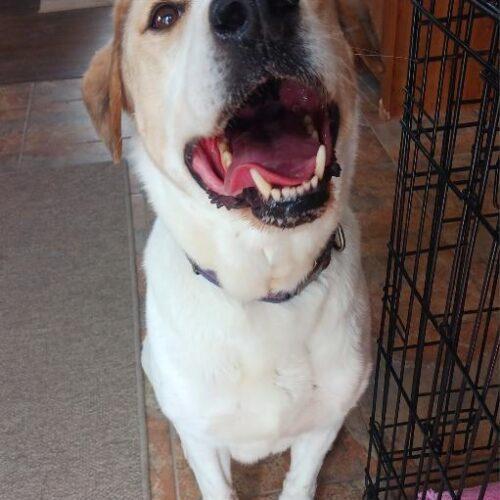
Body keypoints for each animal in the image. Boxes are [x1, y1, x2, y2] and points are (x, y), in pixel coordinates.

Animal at [83, 1, 372, 498]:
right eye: (163, 17)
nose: (258, 14)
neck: (265, 287)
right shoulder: (202, 437)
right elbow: (215, 481)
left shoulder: (324, 423)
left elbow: (301, 480)